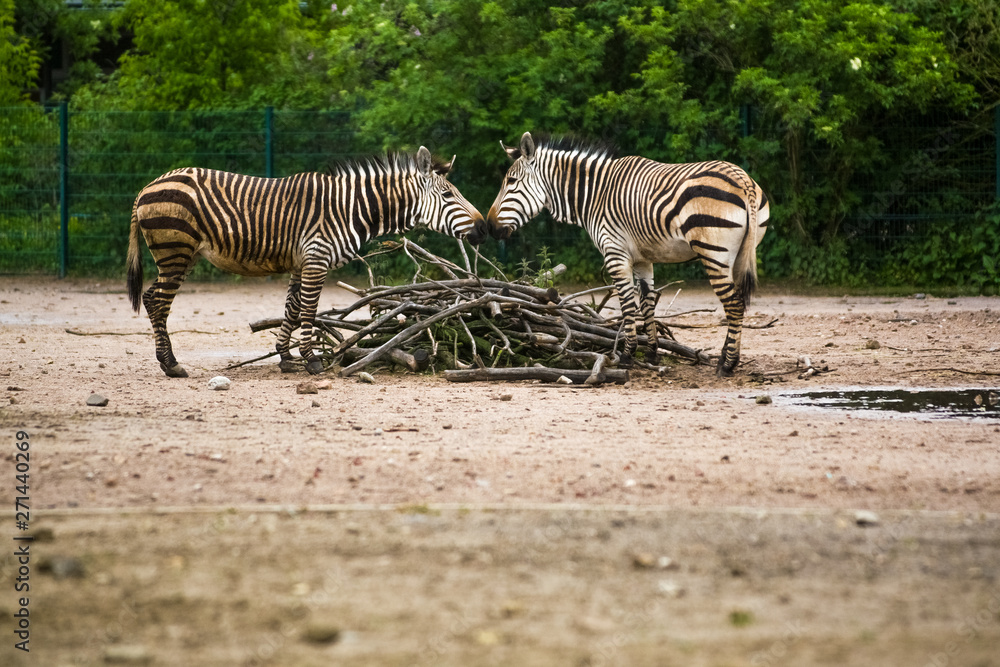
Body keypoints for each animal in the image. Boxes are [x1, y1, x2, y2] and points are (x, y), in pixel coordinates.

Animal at [128, 147, 486, 377]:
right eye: (448, 196)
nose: (484, 228)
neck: (350, 208)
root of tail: (148, 185)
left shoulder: (301, 263)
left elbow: (291, 308)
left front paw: (286, 358)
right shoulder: (316, 259)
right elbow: (309, 311)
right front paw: (312, 361)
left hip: (183, 254)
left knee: (152, 298)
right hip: (175, 250)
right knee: (157, 302)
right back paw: (171, 365)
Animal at [485, 132, 770, 376]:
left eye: (511, 182)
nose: (489, 227)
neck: (596, 195)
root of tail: (743, 180)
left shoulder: (615, 253)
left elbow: (627, 304)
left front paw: (626, 355)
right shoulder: (643, 259)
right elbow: (647, 303)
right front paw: (652, 353)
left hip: (714, 253)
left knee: (734, 304)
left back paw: (728, 365)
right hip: (738, 255)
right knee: (737, 302)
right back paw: (726, 358)